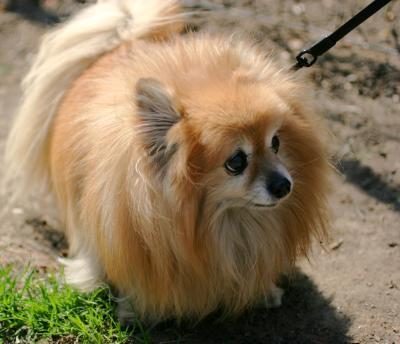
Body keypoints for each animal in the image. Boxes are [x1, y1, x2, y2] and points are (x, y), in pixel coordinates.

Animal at [4, 0, 332, 322]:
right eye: (236, 162)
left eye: (275, 142)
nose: (284, 185)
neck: (222, 223)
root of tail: (123, 43)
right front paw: (133, 309)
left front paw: (264, 292)